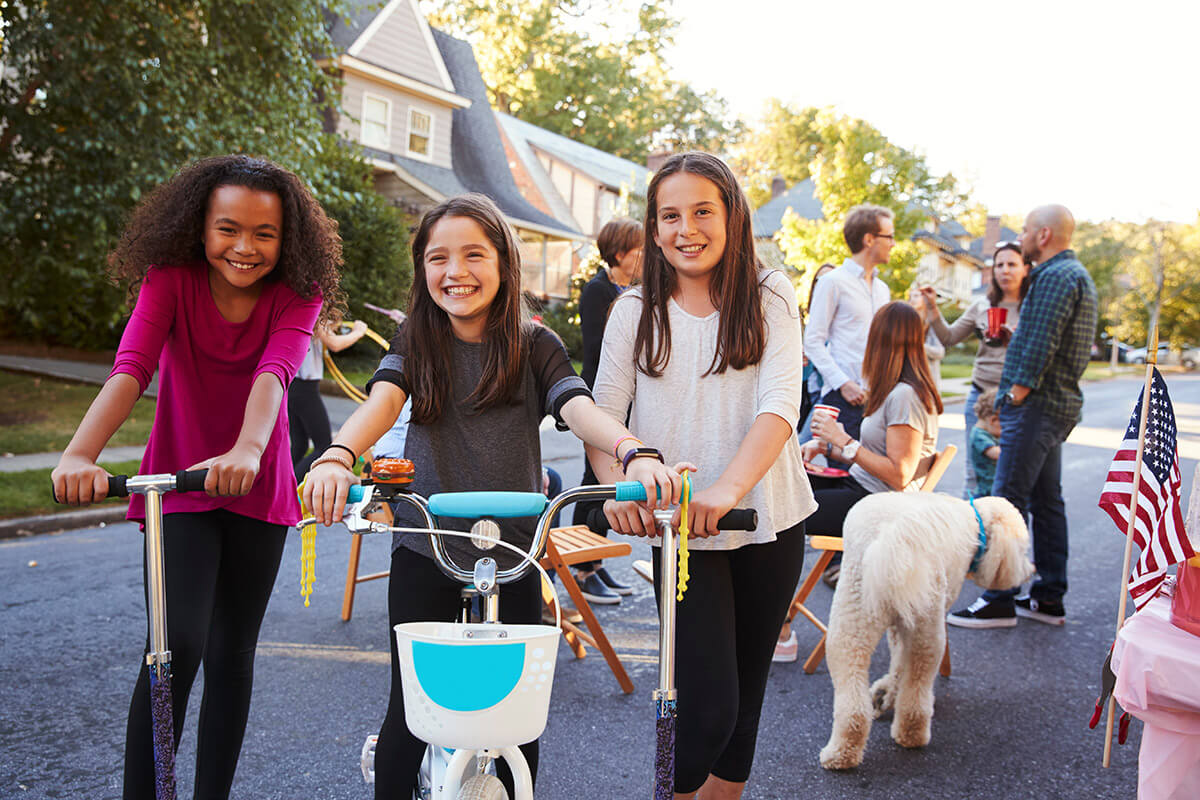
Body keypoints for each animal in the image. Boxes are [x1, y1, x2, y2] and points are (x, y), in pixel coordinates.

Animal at [820, 494, 1036, 767]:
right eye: (1023, 548)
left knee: (866, 702)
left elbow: (898, 663)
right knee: (914, 683)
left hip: (863, 628)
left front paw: (885, 694)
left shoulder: (903, 619)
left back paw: (854, 750)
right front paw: (887, 694)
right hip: (917, 626)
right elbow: (898, 664)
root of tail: (895, 536)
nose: (1030, 570)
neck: (976, 522)